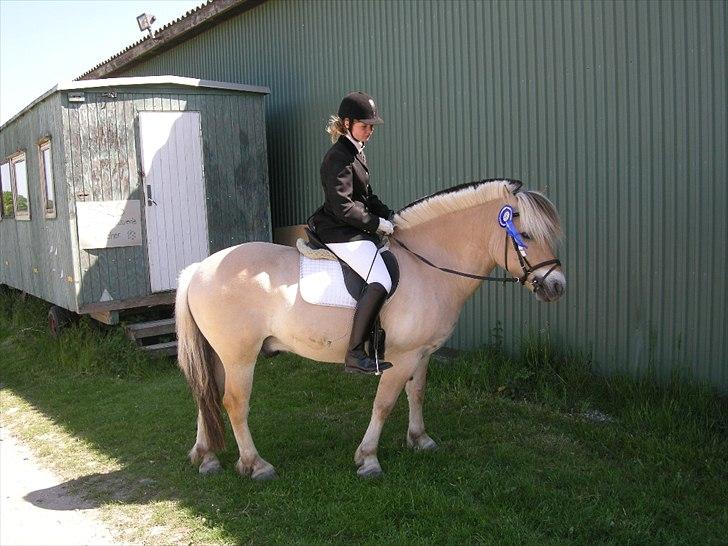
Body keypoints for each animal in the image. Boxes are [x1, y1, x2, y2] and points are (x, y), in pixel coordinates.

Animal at [175, 177, 564, 476]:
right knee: (234, 402)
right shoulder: (401, 357)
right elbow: (384, 403)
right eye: (526, 235)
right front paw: (368, 459)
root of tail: (198, 268)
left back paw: (206, 458)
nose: (556, 287)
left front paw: (420, 439)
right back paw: (255, 465)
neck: (427, 264)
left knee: (206, 395)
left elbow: (416, 393)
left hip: (219, 354)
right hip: (239, 356)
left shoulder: (423, 354)